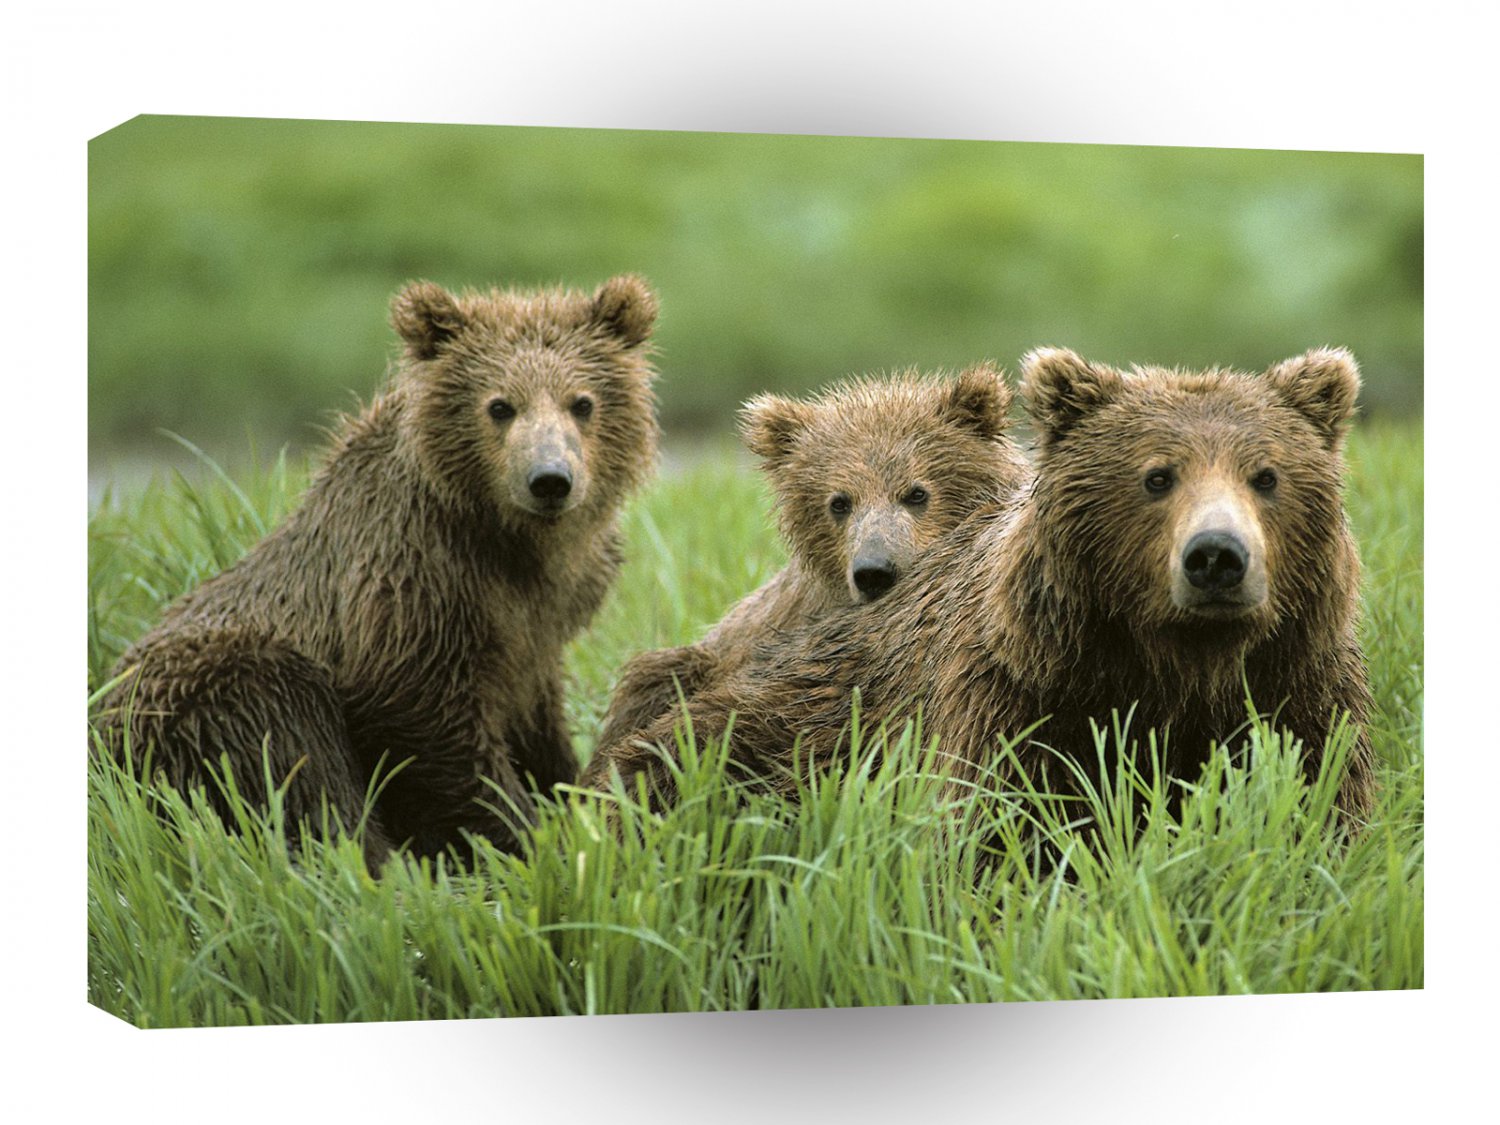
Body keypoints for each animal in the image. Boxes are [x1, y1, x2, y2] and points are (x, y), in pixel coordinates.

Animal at [94, 275, 661, 866]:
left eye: (583, 402)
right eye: (500, 405)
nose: (550, 479)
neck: (509, 543)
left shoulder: (540, 622)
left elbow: (537, 717)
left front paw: (568, 792)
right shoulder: (412, 583)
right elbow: (426, 726)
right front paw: (528, 833)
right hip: (214, 690)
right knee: (293, 758)